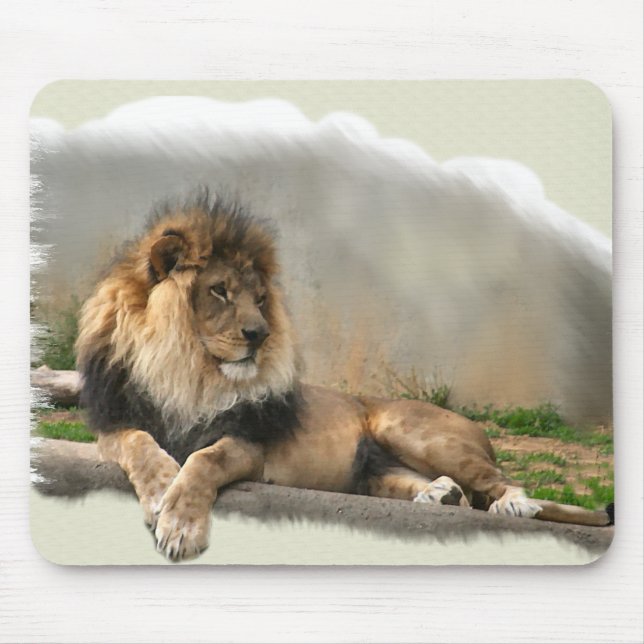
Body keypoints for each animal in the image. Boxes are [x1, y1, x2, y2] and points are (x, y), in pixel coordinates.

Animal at [75, 193, 613, 561]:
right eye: (220, 291)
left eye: (260, 299)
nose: (260, 333)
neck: (185, 371)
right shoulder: (114, 423)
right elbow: (140, 445)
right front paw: (161, 485)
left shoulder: (248, 442)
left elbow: (206, 459)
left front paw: (181, 524)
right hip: (373, 473)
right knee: (445, 491)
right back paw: (439, 495)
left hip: (412, 430)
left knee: (505, 482)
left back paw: (512, 507)